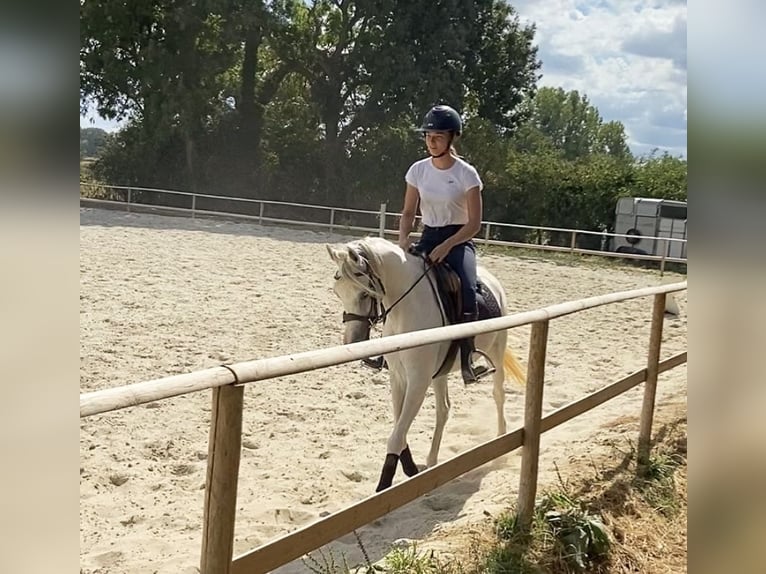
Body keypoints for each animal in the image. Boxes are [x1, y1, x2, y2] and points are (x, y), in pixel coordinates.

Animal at [328, 236, 524, 492]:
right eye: (337, 292)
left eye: (363, 294)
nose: (352, 341)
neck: (406, 309)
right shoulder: (399, 378)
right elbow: (399, 427)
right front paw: (411, 468)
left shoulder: (418, 381)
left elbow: (396, 436)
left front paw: (384, 487)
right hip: (440, 373)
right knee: (444, 410)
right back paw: (432, 462)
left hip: (497, 352)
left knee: (498, 395)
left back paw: (501, 446)